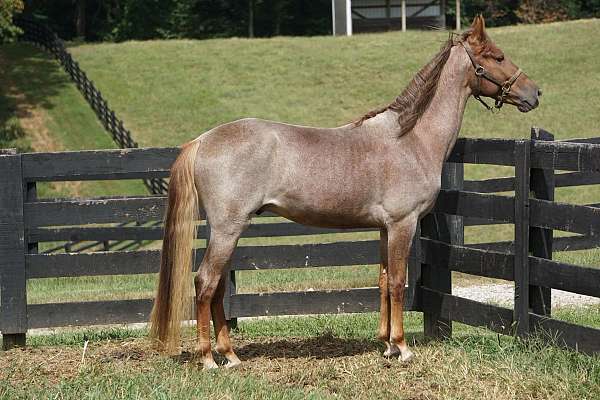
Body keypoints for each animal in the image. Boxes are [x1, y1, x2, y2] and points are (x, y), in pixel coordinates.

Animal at [149, 15, 540, 368]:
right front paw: (402, 348)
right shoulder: (403, 224)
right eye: (498, 56)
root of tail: (202, 140)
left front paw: (387, 345)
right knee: (205, 283)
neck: (410, 139)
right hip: (228, 229)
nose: (535, 93)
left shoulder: (384, 228)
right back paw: (209, 359)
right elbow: (398, 282)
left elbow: (382, 281)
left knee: (216, 289)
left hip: (227, 231)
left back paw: (230, 355)